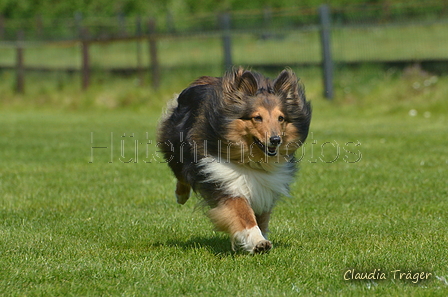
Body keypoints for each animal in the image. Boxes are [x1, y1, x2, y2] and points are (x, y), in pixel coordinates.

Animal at [158, 67, 312, 252]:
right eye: (257, 117)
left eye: (280, 118)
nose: (275, 140)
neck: (251, 161)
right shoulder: (225, 179)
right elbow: (243, 213)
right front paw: (258, 241)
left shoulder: (265, 186)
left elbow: (261, 217)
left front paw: (258, 238)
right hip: (176, 146)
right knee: (180, 173)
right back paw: (180, 196)